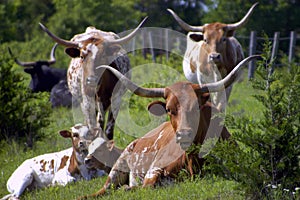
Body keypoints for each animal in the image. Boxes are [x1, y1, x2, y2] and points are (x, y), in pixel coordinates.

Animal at [77, 54, 260, 198]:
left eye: (197, 107)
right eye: (169, 109)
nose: (184, 134)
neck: (193, 161)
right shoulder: (153, 170)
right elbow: (146, 186)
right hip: (117, 169)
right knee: (104, 190)